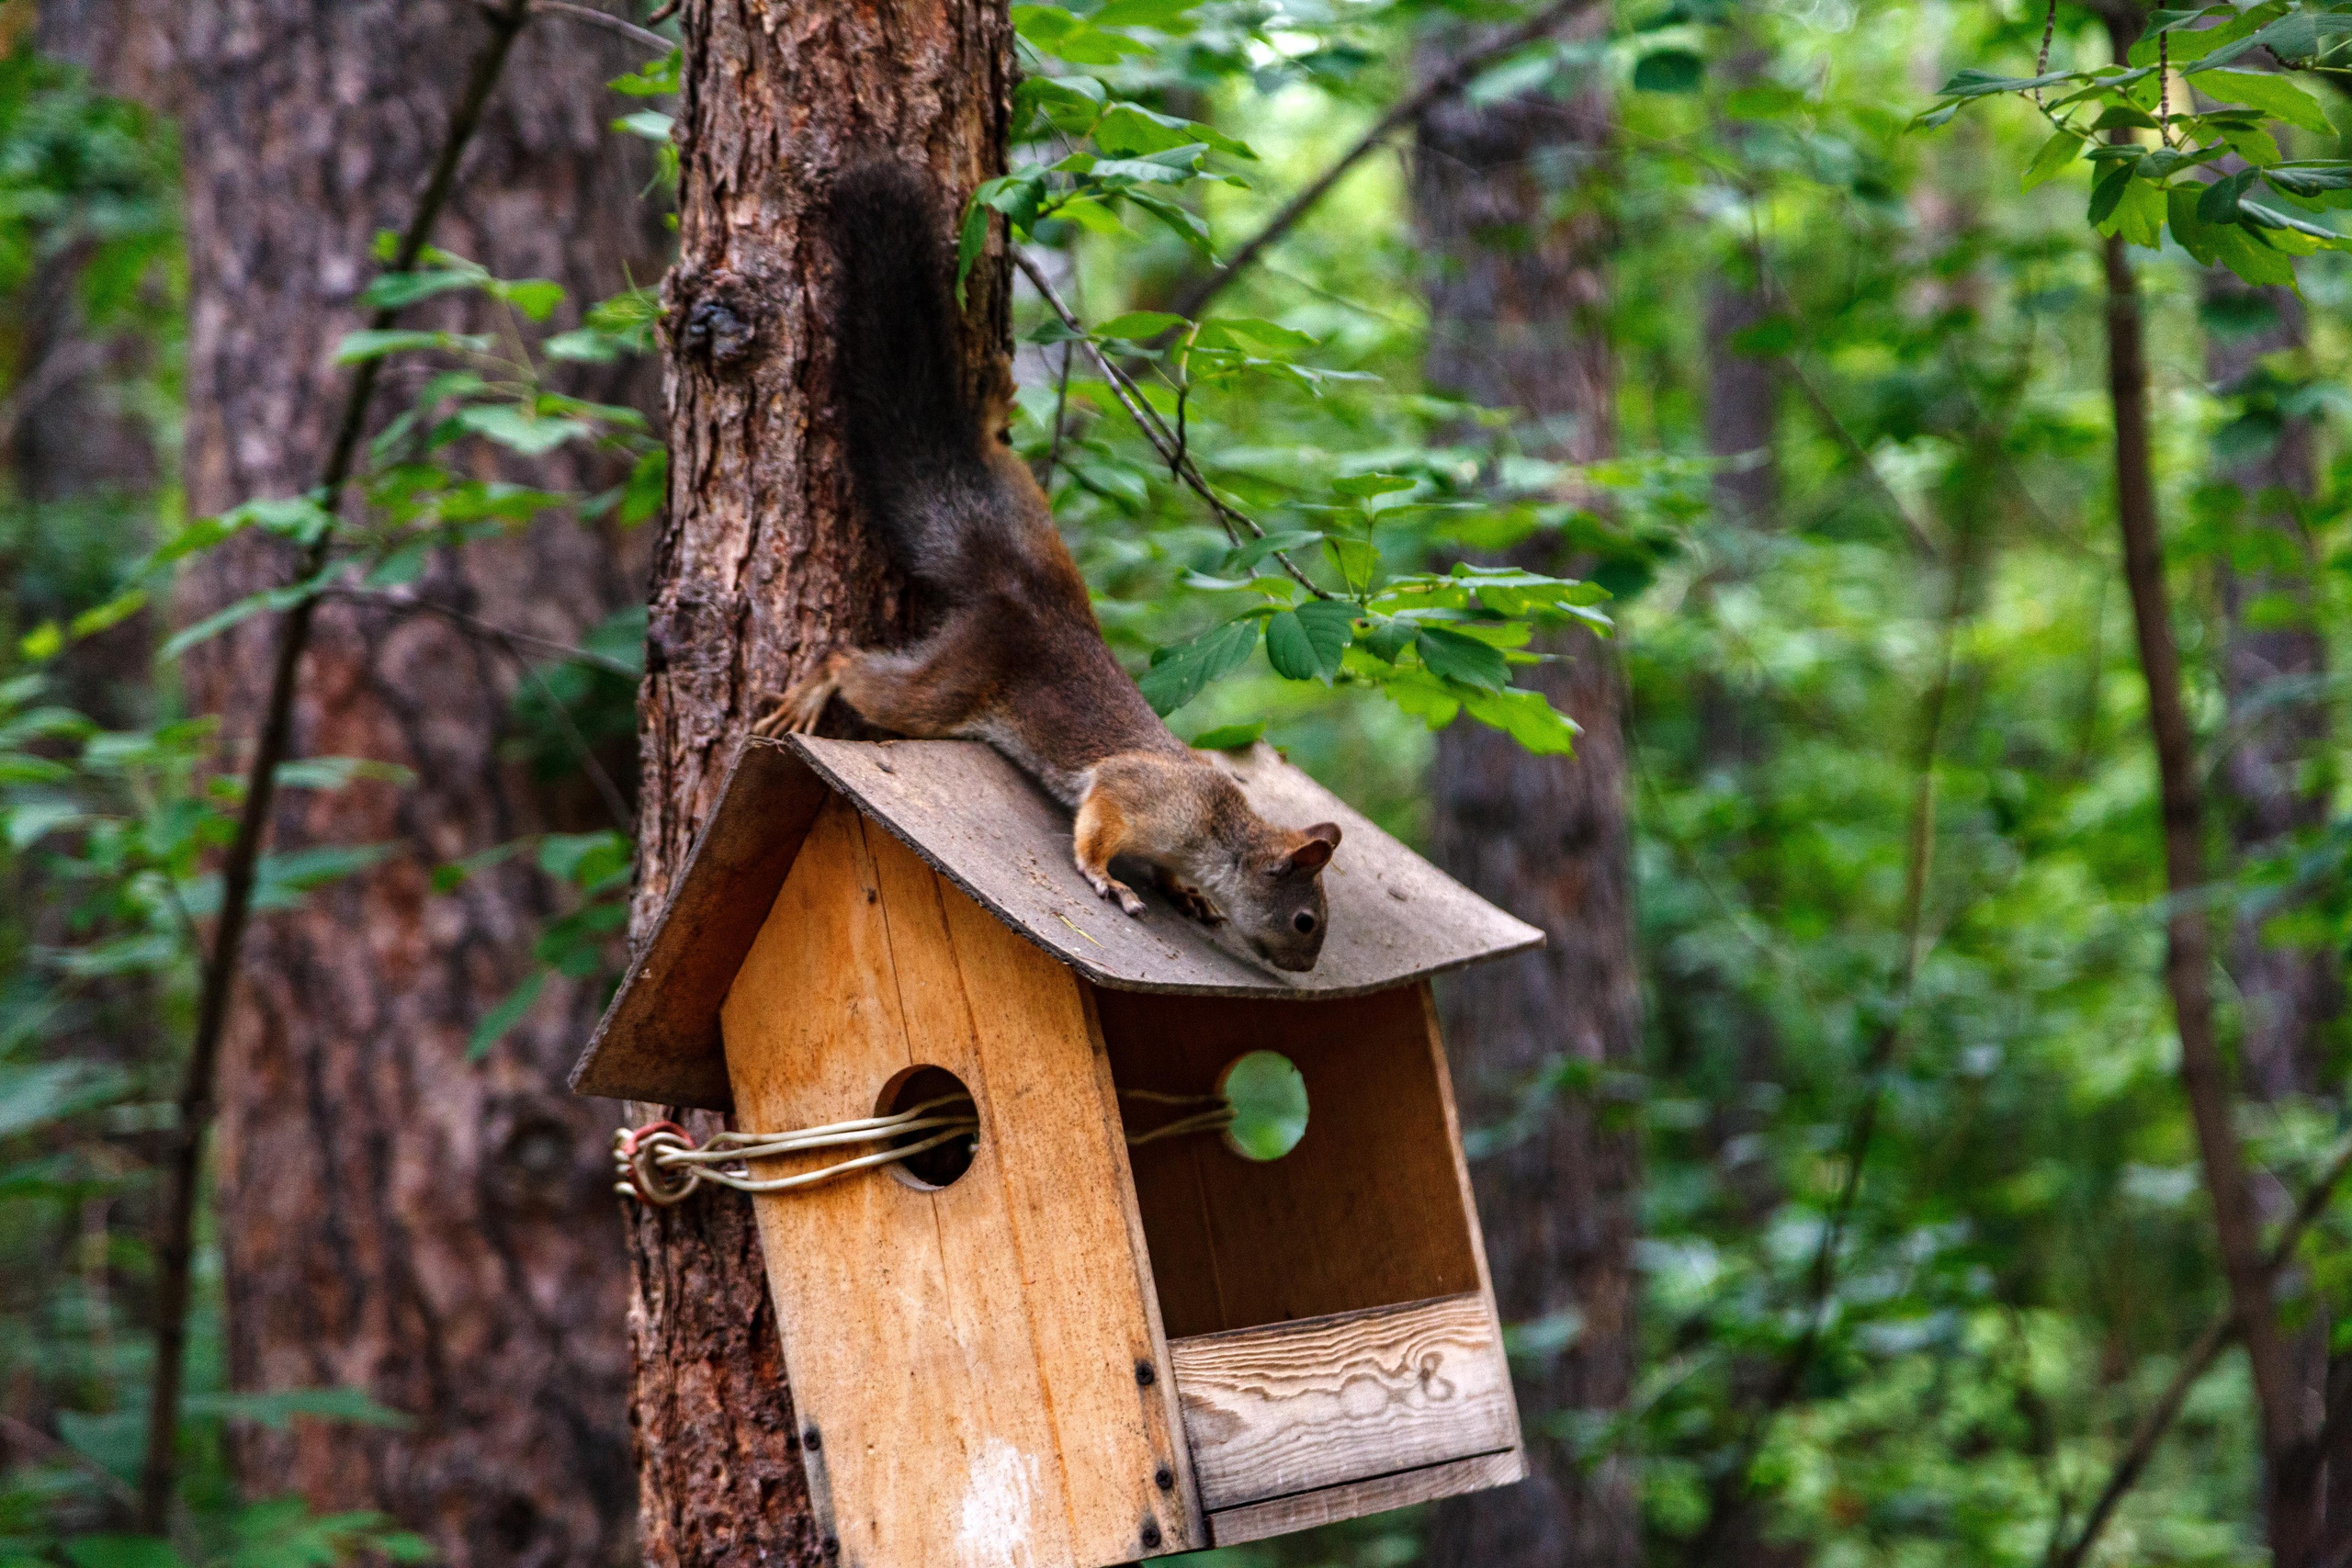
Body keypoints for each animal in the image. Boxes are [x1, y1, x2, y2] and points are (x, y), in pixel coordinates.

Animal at [753, 159, 1341, 974]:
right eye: (1306, 920)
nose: (1305, 967)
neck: (1221, 830)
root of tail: (1017, 590)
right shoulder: (1139, 791)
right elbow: (1098, 824)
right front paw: (1109, 880)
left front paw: (1185, 893)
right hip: (953, 681)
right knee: (864, 673)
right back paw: (815, 686)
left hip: (1028, 513)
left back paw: (993, 401)